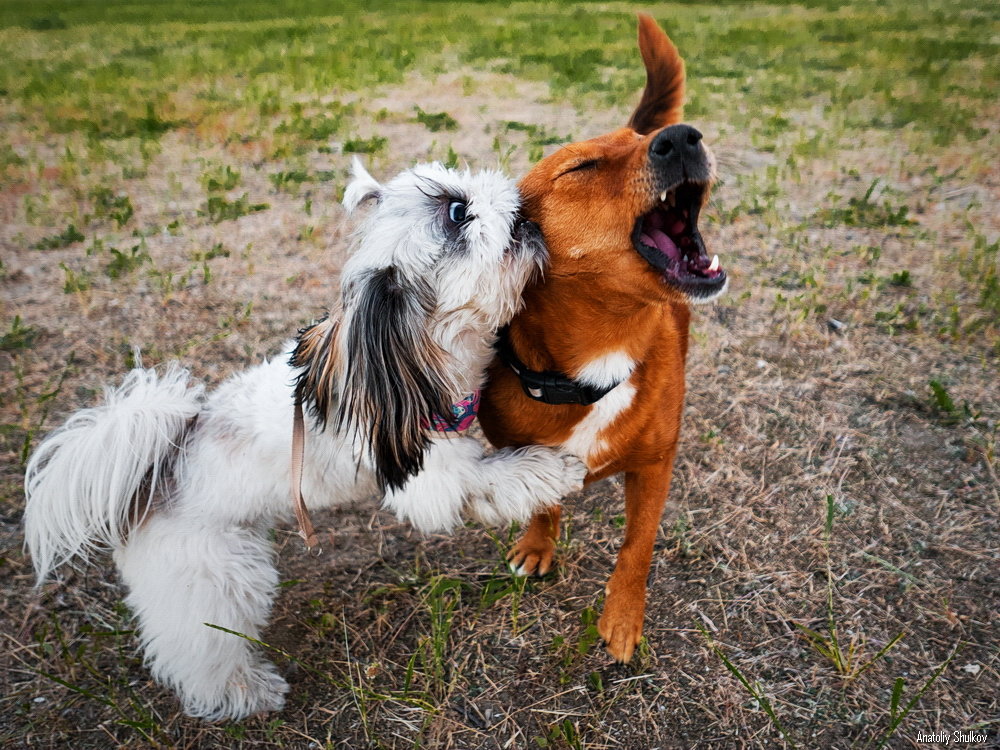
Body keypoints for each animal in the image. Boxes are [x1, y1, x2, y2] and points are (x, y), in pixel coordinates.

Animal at [23, 163, 584, 724]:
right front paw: (557, 469)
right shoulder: (430, 475)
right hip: (218, 578)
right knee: (202, 650)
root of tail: (155, 473)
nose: (515, 194)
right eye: (457, 212)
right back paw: (244, 693)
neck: (420, 350)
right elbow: (498, 474)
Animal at [478, 14, 728, 664]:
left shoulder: (656, 467)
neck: (600, 359)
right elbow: (544, 500)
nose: (680, 138)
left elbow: (637, 549)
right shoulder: (526, 455)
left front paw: (621, 620)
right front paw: (539, 544)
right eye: (581, 168)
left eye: (645, 140)